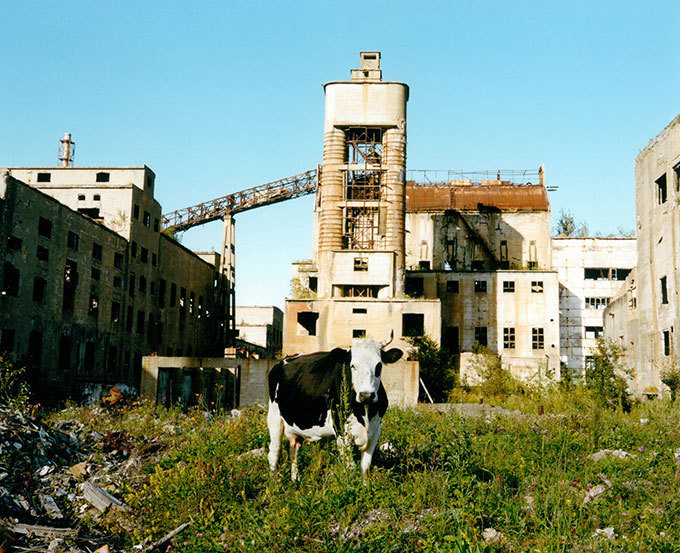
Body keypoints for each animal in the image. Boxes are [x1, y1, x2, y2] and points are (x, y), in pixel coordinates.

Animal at [266, 334, 404, 480]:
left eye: (379, 365)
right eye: (353, 365)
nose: (366, 395)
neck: (365, 412)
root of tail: (284, 359)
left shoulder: (375, 430)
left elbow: (365, 468)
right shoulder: (341, 431)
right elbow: (351, 467)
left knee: (293, 449)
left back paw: (295, 480)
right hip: (274, 417)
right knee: (274, 451)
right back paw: (274, 482)